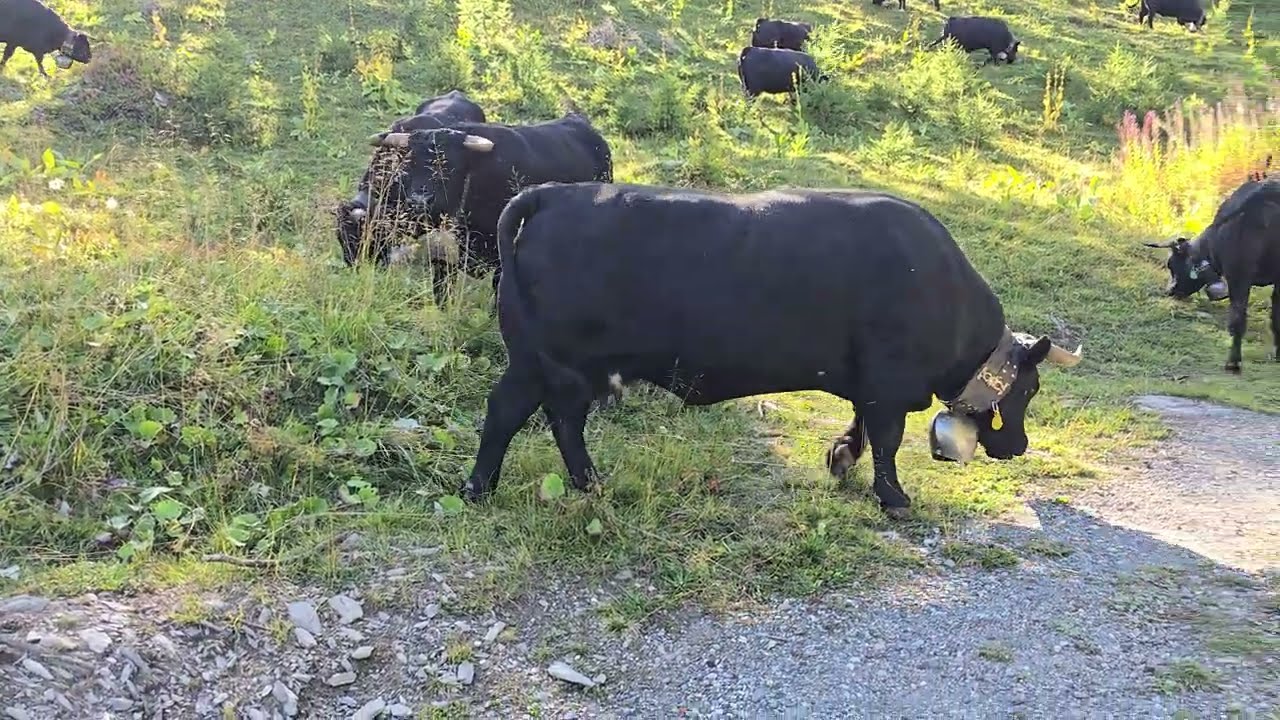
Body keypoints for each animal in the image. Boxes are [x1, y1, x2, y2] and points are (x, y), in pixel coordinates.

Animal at [459, 181, 1084, 519]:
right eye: (1030, 389)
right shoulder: (889, 382)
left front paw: (841, 458)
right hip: (543, 363)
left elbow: (861, 427)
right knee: (509, 413)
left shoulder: (869, 382)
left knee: (562, 421)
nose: (1020, 447)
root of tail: (551, 194)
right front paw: (893, 495)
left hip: (564, 369)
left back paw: (589, 484)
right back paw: (478, 490)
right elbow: (886, 440)